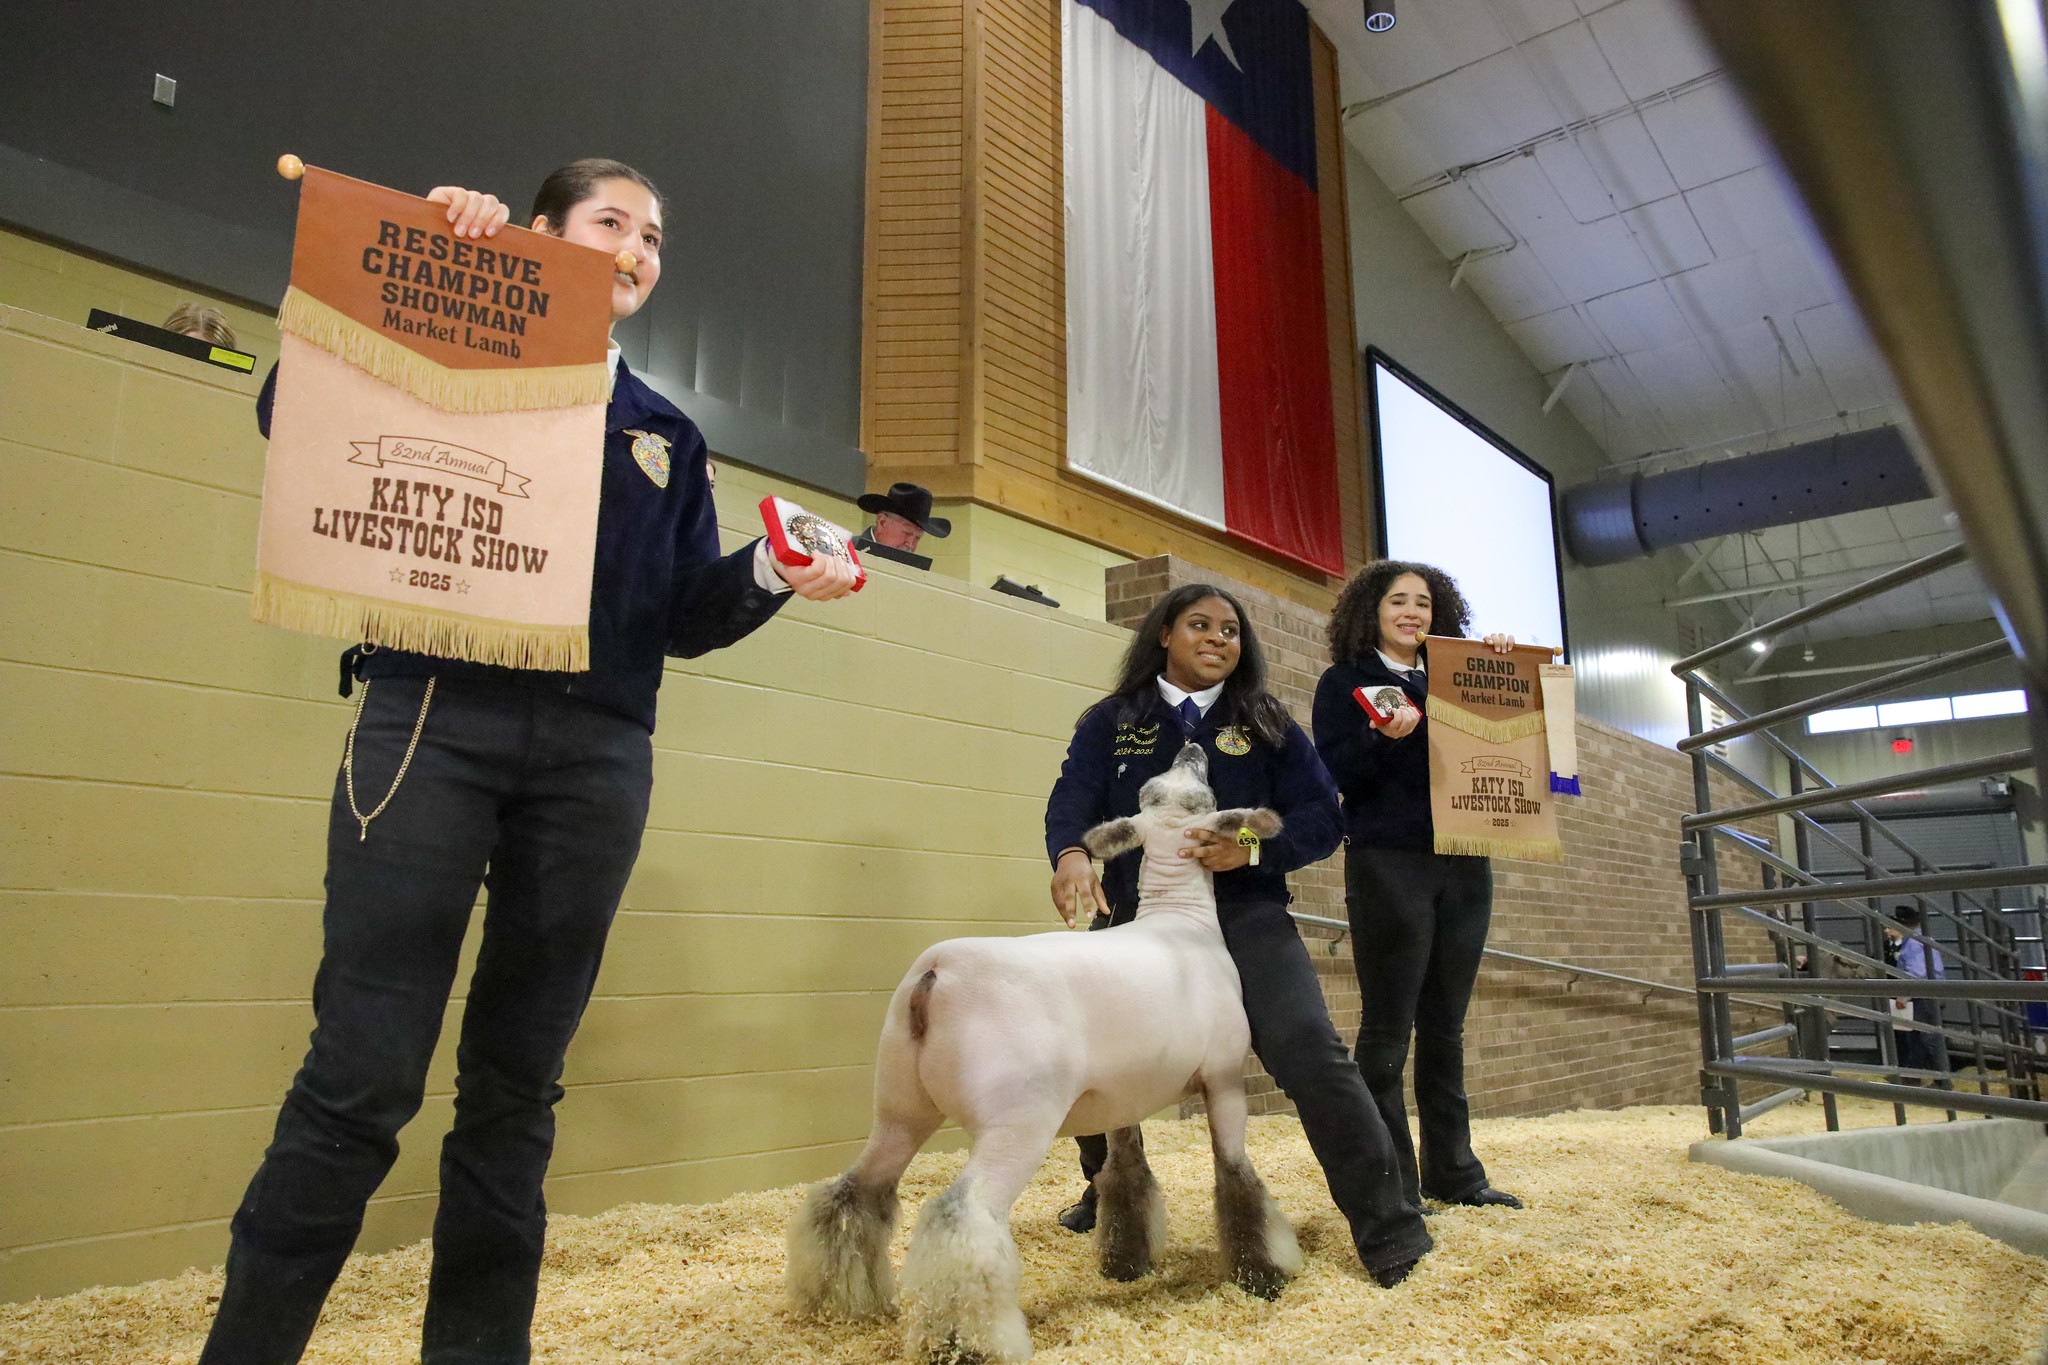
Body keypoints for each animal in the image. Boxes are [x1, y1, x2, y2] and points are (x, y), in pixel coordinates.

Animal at [782, 740, 1294, 1358]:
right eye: (1199, 793)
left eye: (1161, 789)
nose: (1194, 745)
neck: (1181, 920)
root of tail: (936, 973)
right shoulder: (1223, 1079)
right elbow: (1237, 1177)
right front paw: (1263, 1275)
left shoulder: (1120, 1099)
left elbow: (1126, 1177)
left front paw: (1126, 1264)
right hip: (1019, 1118)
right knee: (962, 1216)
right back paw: (967, 1342)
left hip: (899, 1105)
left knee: (853, 1193)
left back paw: (838, 1302)